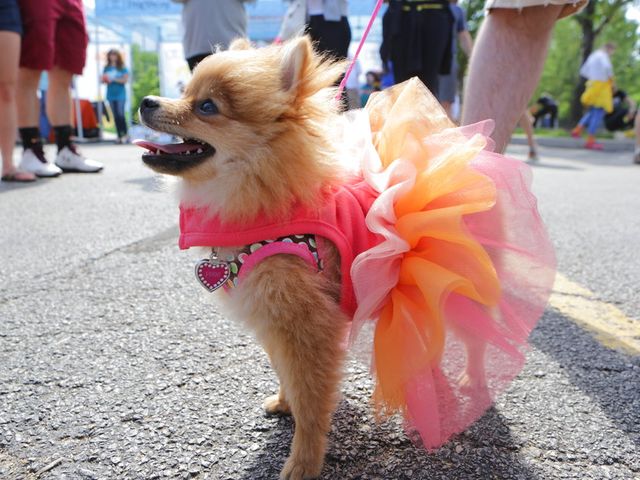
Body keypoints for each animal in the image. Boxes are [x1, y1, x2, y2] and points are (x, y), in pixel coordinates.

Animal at [138, 35, 352, 478]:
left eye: (206, 106)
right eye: (184, 91)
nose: (146, 100)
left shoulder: (308, 325)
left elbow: (311, 399)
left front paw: (302, 461)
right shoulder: (273, 318)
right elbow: (288, 375)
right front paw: (285, 402)